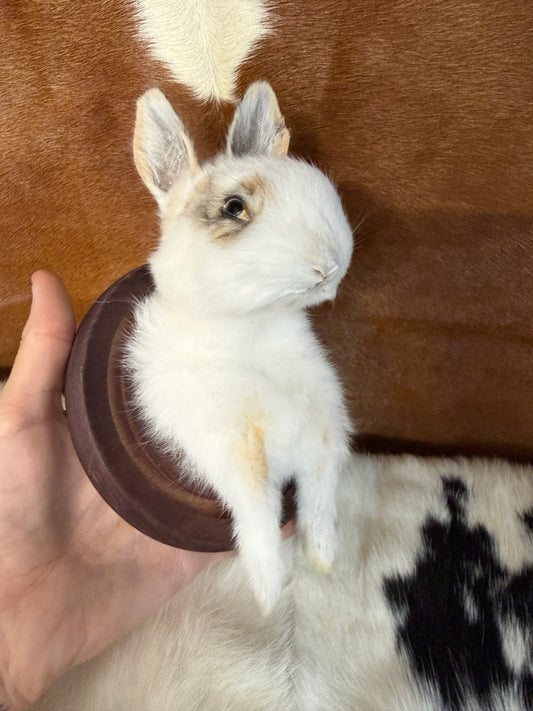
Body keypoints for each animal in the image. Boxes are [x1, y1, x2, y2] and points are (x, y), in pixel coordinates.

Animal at [125, 81, 354, 614]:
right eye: (234, 207)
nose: (329, 265)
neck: (253, 332)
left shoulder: (325, 439)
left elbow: (319, 504)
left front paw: (323, 560)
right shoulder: (237, 454)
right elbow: (259, 522)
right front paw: (271, 595)